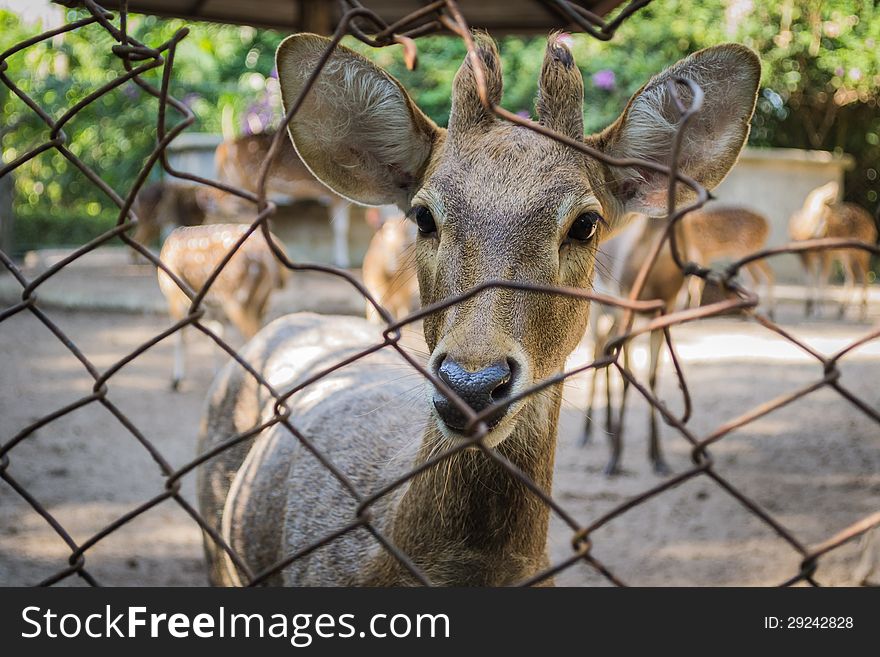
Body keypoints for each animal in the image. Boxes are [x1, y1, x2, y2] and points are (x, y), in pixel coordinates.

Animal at [155, 224, 286, 390]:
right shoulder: (214, 306)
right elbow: (216, 334)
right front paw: (215, 375)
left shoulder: (173, 294)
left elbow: (180, 336)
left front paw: (176, 380)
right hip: (262, 300)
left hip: (238, 299)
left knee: (253, 335)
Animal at [788, 181, 876, 320]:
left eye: (824, 214)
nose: (823, 232)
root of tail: (872, 223)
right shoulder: (807, 259)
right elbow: (809, 280)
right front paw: (808, 308)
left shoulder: (826, 257)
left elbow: (821, 281)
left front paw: (818, 310)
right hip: (845, 255)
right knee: (852, 276)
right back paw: (841, 310)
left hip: (861, 253)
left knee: (864, 277)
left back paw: (861, 314)